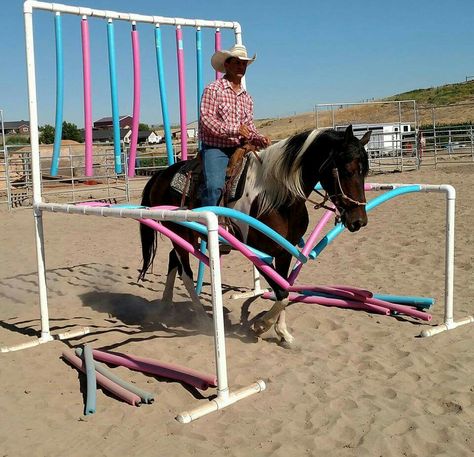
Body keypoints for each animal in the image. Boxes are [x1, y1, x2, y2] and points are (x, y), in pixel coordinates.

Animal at [137, 124, 370, 346]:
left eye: (364, 171)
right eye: (347, 170)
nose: (359, 221)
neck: (277, 198)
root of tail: (160, 175)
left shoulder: (284, 252)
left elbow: (285, 287)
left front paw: (282, 332)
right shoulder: (259, 254)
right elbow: (282, 293)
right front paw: (261, 326)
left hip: (185, 236)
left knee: (172, 260)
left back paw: (166, 306)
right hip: (180, 232)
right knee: (185, 273)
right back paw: (202, 318)